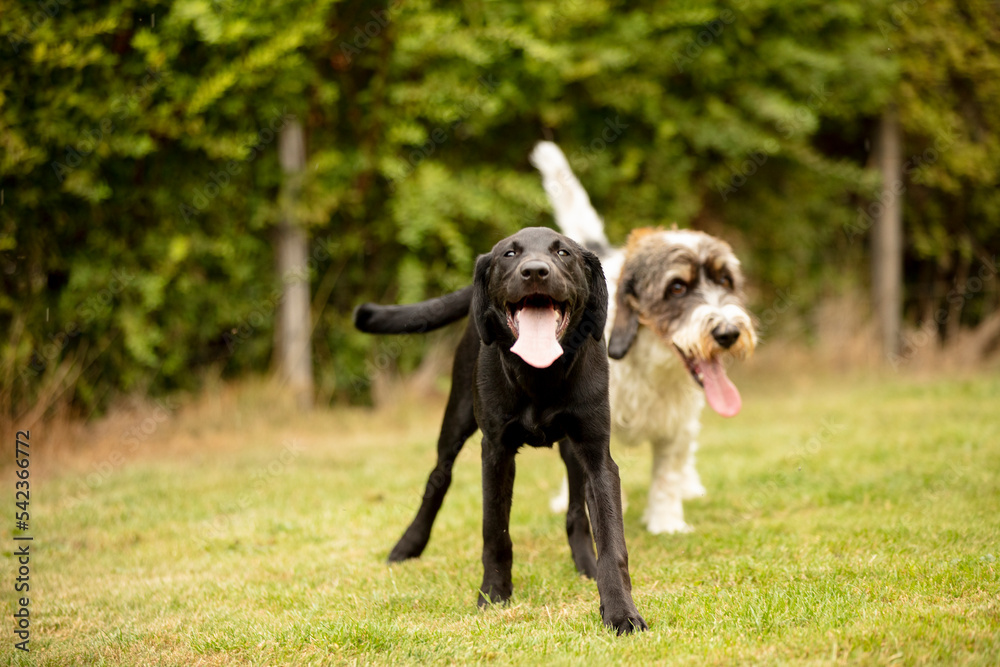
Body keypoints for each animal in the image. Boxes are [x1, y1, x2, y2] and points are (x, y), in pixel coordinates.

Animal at [356, 227, 644, 636]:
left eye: (563, 253)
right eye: (509, 253)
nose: (536, 271)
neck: (540, 375)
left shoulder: (597, 456)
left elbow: (612, 543)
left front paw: (620, 612)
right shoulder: (495, 451)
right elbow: (495, 532)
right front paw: (493, 595)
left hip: (571, 449)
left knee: (575, 510)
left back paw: (584, 564)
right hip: (456, 418)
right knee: (437, 480)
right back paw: (408, 545)